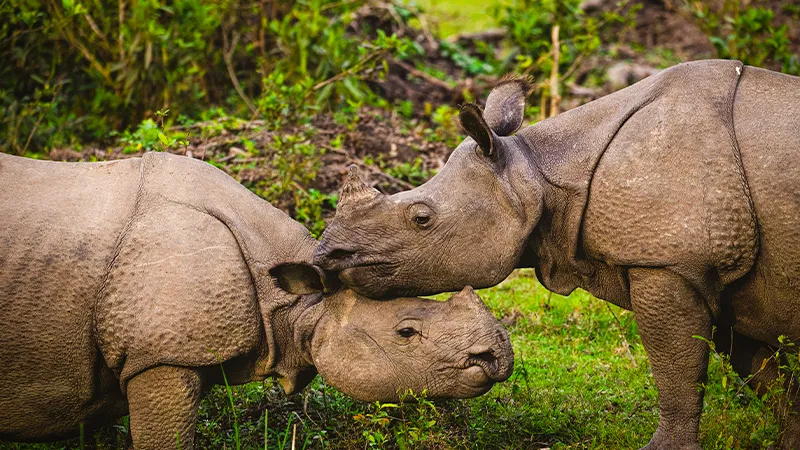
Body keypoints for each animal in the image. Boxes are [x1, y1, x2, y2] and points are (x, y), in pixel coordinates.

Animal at [314, 60, 800, 449]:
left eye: (421, 218)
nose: (327, 254)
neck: (539, 171)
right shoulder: (721, 279)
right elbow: (769, 379)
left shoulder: (670, 264)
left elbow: (678, 371)